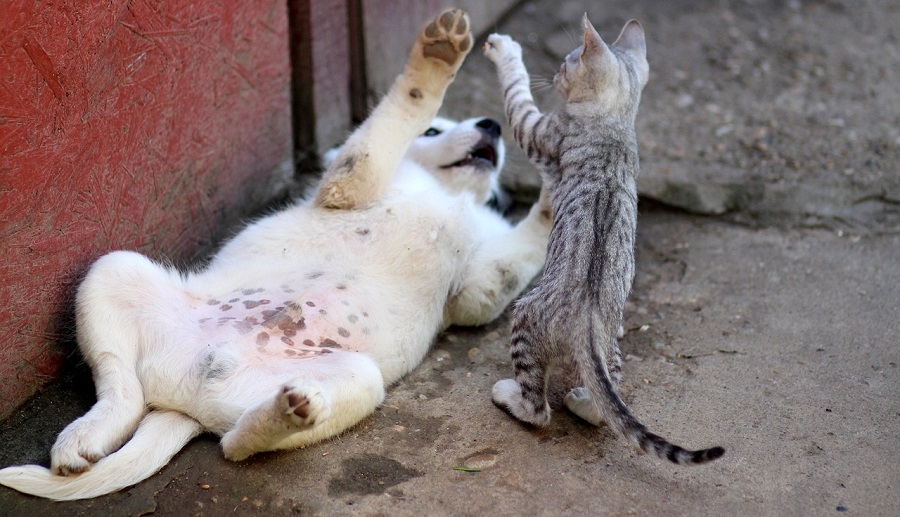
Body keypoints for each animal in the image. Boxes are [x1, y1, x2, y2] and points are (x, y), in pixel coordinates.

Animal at [0, 9, 552, 500]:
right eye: (434, 130)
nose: (492, 125)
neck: (448, 194)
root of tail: (185, 400)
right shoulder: (349, 186)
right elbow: (398, 114)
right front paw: (437, 56)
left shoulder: (476, 288)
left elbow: (521, 249)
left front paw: (559, 177)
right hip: (112, 269)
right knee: (122, 389)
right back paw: (83, 438)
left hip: (359, 378)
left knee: (232, 442)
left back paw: (287, 413)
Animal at [486, 15, 724, 464]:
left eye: (566, 62)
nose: (555, 73)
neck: (614, 120)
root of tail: (587, 323)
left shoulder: (537, 129)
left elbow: (515, 93)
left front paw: (506, 51)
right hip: (613, 343)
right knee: (604, 405)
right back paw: (583, 401)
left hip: (524, 316)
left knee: (539, 410)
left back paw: (511, 397)